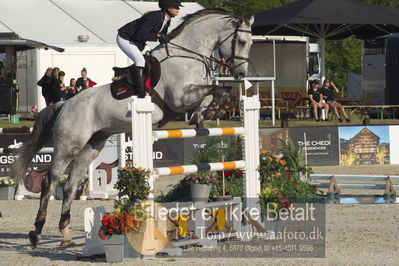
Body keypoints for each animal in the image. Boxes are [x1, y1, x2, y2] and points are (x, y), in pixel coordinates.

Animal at [13, 8, 256, 247]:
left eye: (251, 42)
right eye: (242, 41)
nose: (241, 75)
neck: (189, 56)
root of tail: (64, 104)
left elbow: (218, 92)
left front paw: (207, 114)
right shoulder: (180, 98)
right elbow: (215, 90)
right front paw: (207, 112)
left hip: (91, 147)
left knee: (70, 186)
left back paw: (65, 235)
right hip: (68, 146)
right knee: (50, 180)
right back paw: (36, 232)